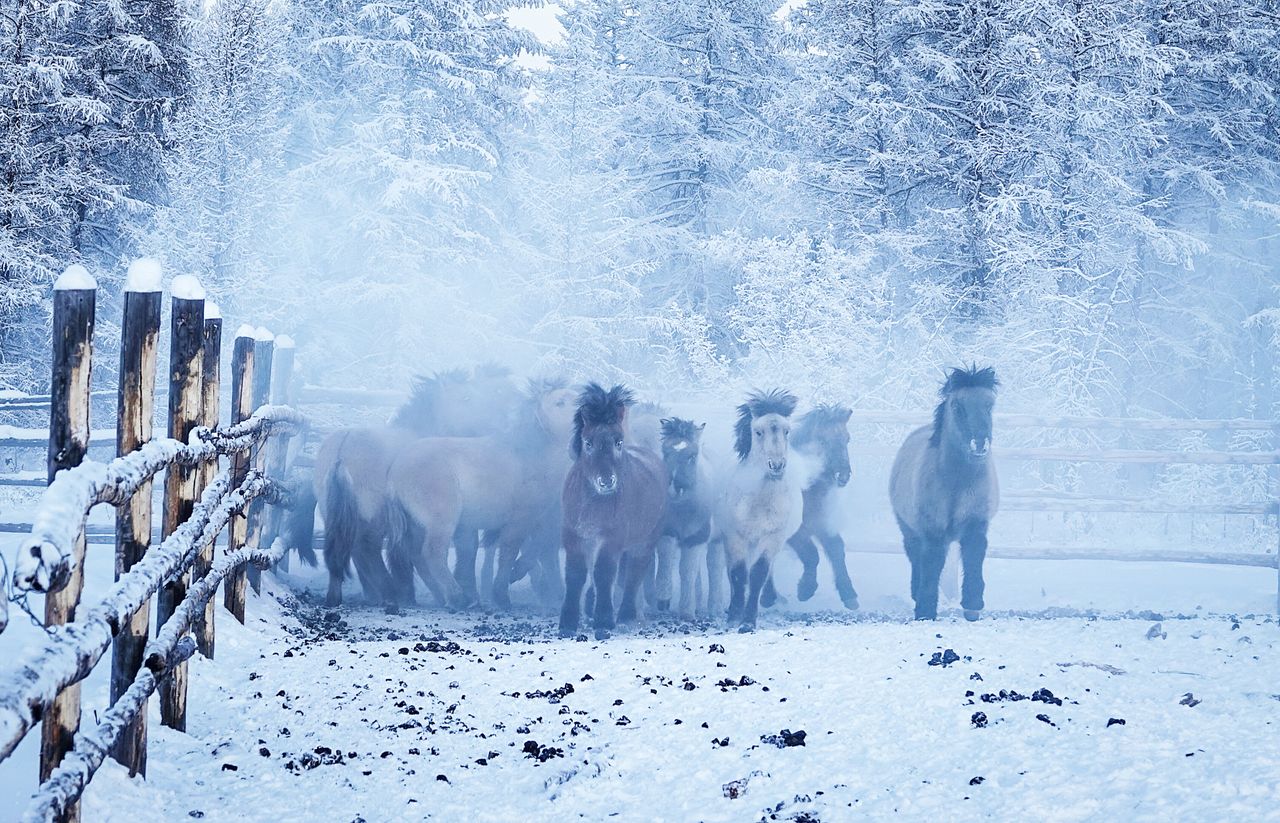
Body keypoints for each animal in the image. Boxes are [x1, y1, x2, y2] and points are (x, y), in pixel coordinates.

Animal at [384, 378, 576, 611]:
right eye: (559, 403)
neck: (529, 455)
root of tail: (395, 470)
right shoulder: (520, 519)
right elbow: (510, 552)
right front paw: (502, 594)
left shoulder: (539, 519)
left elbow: (537, 549)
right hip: (441, 521)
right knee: (432, 554)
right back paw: (457, 597)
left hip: (416, 524)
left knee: (417, 557)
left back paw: (443, 596)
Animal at [558, 383, 665, 639]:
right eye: (588, 443)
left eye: (618, 442)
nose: (607, 481)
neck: (592, 503)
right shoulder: (573, 536)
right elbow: (575, 574)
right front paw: (568, 621)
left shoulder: (612, 538)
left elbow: (604, 573)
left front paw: (604, 620)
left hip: (645, 540)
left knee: (635, 573)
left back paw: (626, 615)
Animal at [655, 419, 716, 619]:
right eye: (665, 452)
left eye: (692, 456)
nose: (674, 486)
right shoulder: (667, 532)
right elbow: (666, 560)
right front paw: (663, 598)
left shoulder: (697, 538)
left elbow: (687, 571)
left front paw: (687, 611)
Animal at [757, 407, 860, 611]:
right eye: (822, 440)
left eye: (847, 438)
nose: (843, 475)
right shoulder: (796, 532)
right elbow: (812, 555)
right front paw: (805, 589)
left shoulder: (821, 524)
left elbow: (837, 549)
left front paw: (849, 595)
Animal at [890, 363, 998, 622]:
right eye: (957, 406)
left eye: (989, 405)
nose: (980, 444)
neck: (957, 482)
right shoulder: (933, 531)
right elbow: (931, 564)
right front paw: (925, 610)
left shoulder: (976, 525)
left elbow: (973, 558)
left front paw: (972, 606)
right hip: (909, 529)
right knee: (915, 557)